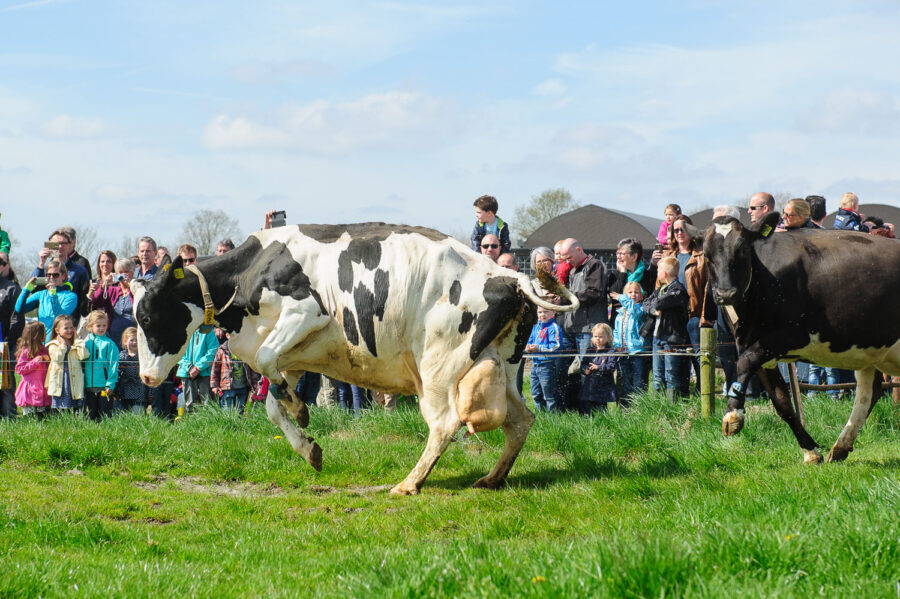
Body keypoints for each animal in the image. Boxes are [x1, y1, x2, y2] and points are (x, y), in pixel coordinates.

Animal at [130, 223, 580, 494]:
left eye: (147, 317)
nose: (149, 379)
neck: (251, 271)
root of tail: (508, 275)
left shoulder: (305, 312)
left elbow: (268, 362)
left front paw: (301, 412)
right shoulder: (296, 352)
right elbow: (273, 402)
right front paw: (307, 442)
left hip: (439, 368)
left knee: (445, 424)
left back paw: (409, 483)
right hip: (501, 364)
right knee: (521, 420)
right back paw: (491, 478)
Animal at [704, 213, 900, 466]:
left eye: (743, 250)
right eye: (706, 255)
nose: (725, 293)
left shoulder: (792, 336)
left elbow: (744, 362)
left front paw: (732, 415)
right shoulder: (756, 347)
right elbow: (782, 402)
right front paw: (811, 451)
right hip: (869, 348)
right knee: (869, 391)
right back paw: (840, 447)